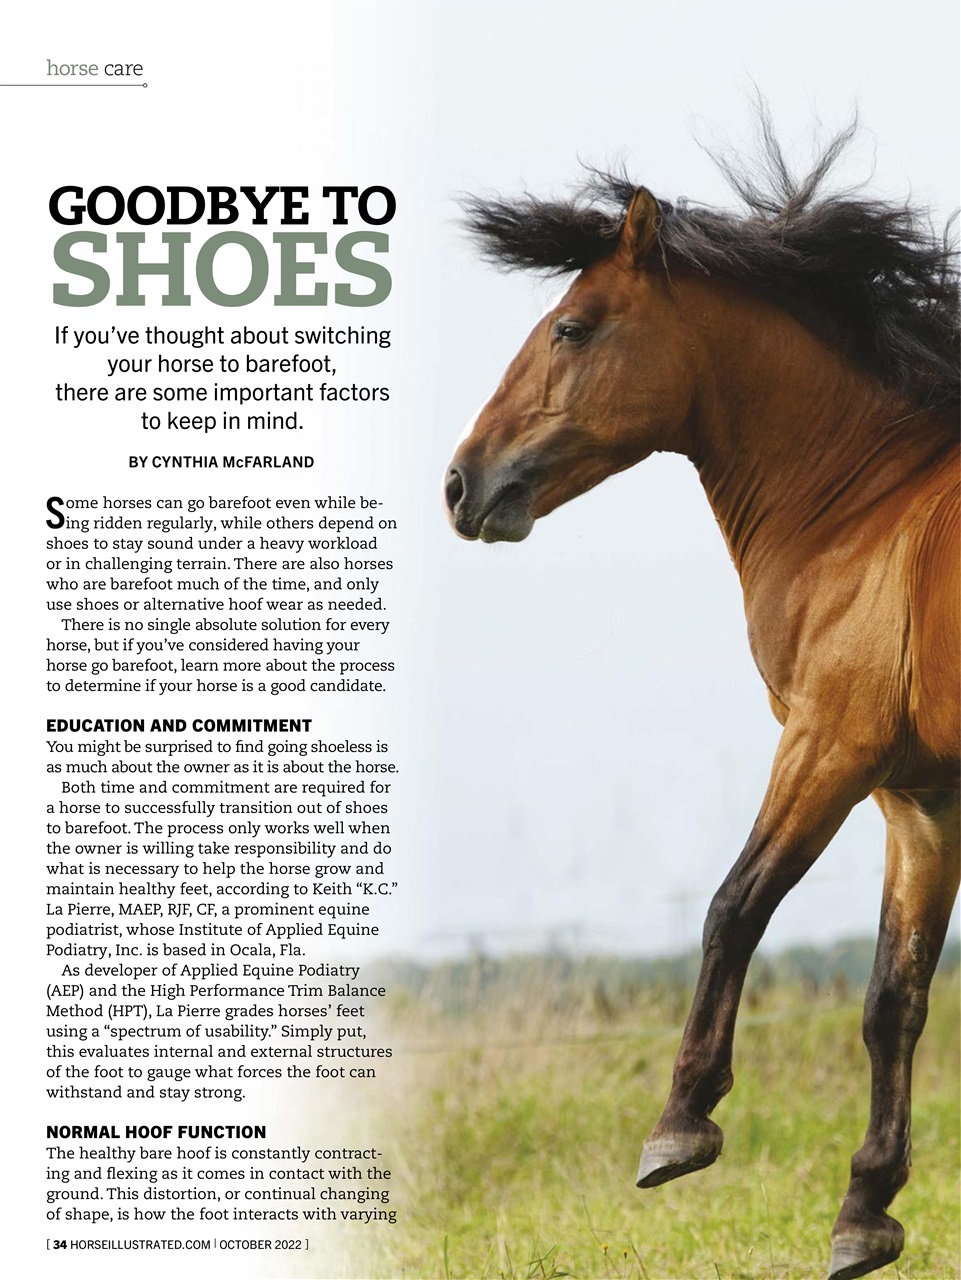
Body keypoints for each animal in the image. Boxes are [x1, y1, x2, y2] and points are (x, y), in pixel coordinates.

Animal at [444, 121, 959, 1280]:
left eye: (572, 326)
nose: (461, 484)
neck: (867, 509)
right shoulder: (921, 802)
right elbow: (893, 998)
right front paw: (865, 1209)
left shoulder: (829, 747)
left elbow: (734, 906)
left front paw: (679, 1125)